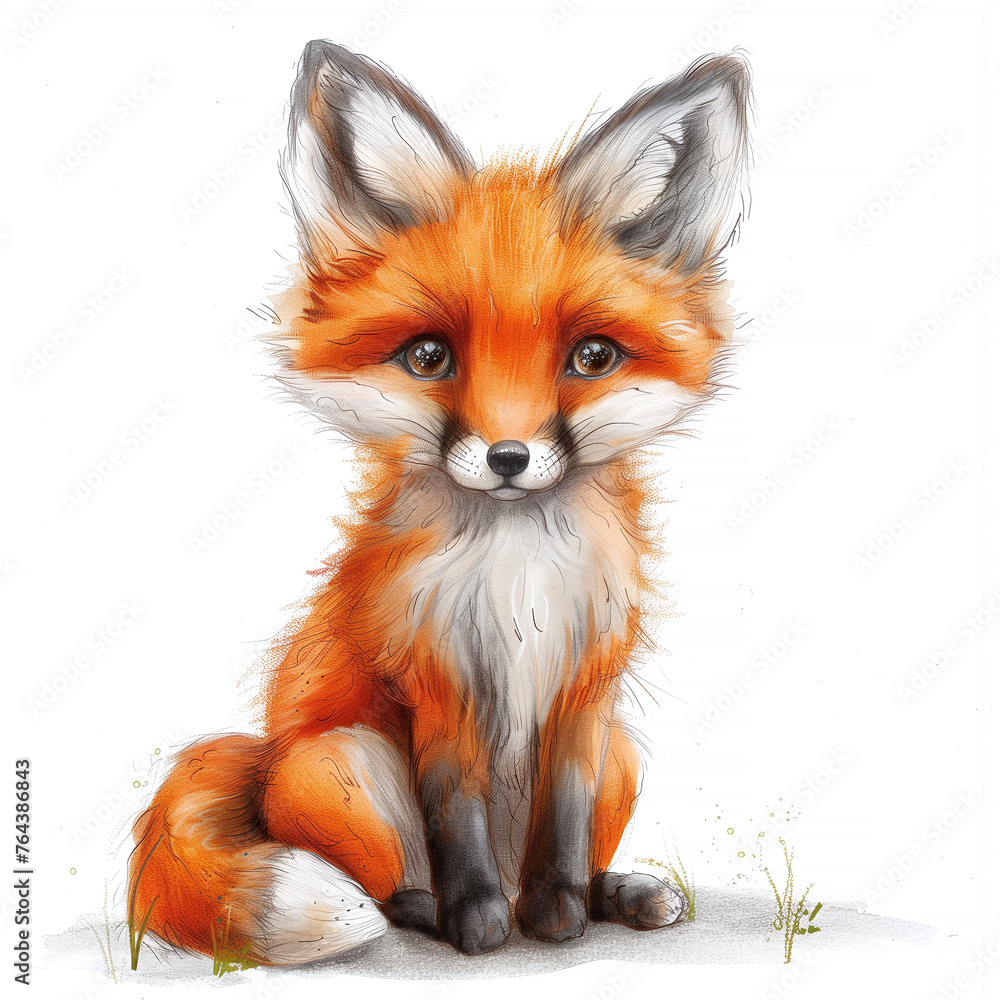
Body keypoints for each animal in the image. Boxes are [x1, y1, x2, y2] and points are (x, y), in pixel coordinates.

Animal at [127, 41, 752, 965]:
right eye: (428, 357)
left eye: (592, 357)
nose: (508, 457)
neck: (521, 573)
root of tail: (265, 756)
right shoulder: (439, 684)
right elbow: (457, 821)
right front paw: (480, 925)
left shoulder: (586, 693)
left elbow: (565, 832)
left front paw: (561, 917)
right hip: (346, 764)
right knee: (390, 894)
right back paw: (437, 913)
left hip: (624, 755)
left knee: (572, 855)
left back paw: (615, 895)